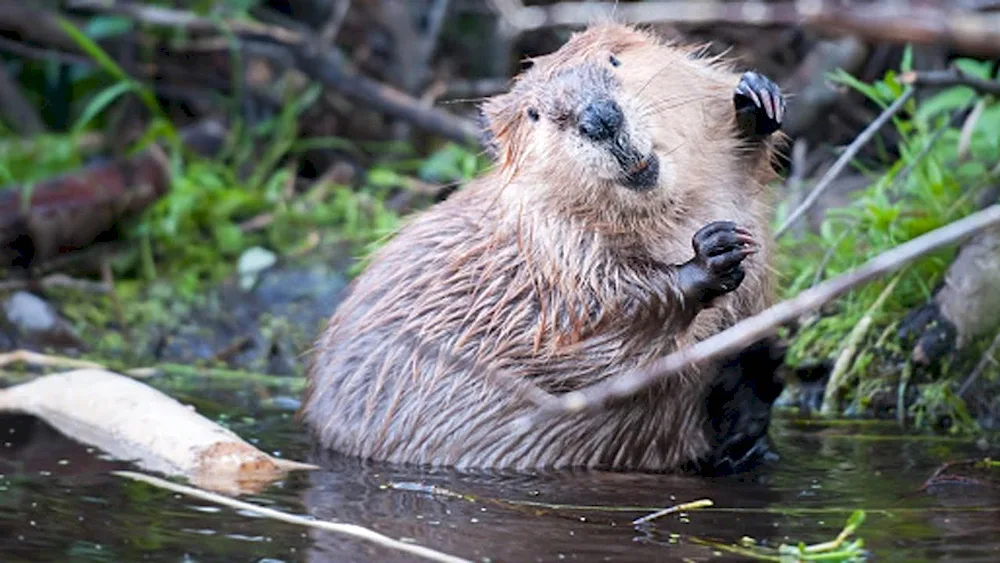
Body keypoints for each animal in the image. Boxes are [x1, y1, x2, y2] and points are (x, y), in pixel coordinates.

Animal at [300, 22, 784, 474]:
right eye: (534, 113)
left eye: (614, 60)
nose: (600, 119)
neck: (670, 213)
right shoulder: (551, 251)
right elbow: (593, 331)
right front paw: (711, 254)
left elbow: (744, 165)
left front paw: (757, 99)